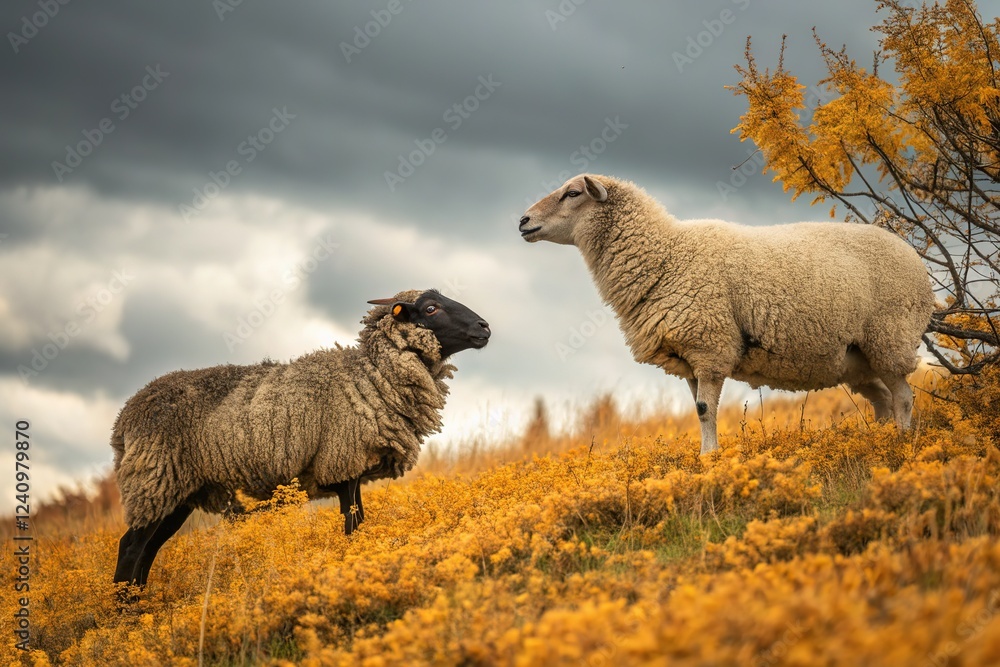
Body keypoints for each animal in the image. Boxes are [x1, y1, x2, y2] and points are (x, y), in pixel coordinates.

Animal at [111, 289, 490, 590]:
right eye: (431, 308)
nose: (484, 327)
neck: (368, 376)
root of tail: (123, 421)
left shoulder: (352, 469)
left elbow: (361, 523)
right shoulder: (341, 463)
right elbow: (352, 525)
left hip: (175, 493)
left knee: (148, 550)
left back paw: (140, 606)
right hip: (154, 480)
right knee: (130, 547)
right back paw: (125, 613)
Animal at [518, 173, 935, 455]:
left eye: (573, 193)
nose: (523, 221)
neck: (665, 255)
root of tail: (914, 259)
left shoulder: (710, 346)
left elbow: (705, 410)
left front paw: (709, 458)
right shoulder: (688, 357)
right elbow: (697, 410)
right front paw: (706, 456)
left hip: (889, 336)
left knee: (903, 397)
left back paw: (901, 442)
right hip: (858, 358)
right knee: (883, 399)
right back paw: (878, 443)